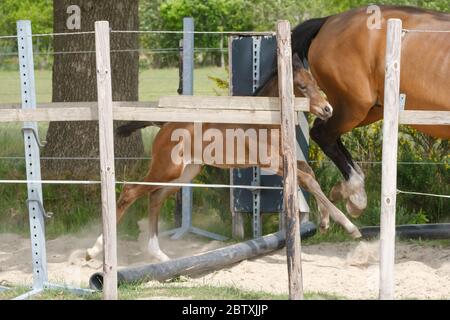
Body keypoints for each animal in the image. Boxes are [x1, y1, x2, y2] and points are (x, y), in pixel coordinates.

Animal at [292, 5, 450, 218]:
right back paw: (356, 195)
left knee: (328, 134)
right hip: (353, 106)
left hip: (369, 110)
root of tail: (329, 21)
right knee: (322, 133)